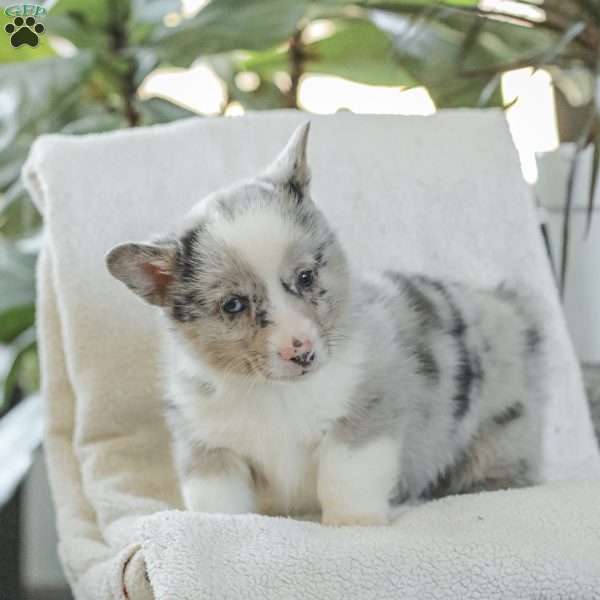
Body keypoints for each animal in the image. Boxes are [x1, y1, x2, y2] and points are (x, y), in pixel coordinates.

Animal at [105, 122, 548, 524]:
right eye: (233, 305)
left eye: (306, 277)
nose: (300, 352)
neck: (275, 393)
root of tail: (508, 306)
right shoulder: (210, 448)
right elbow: (219, 504)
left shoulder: (362, 421)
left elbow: (344, 483)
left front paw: (354, 527)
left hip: (501, 432)